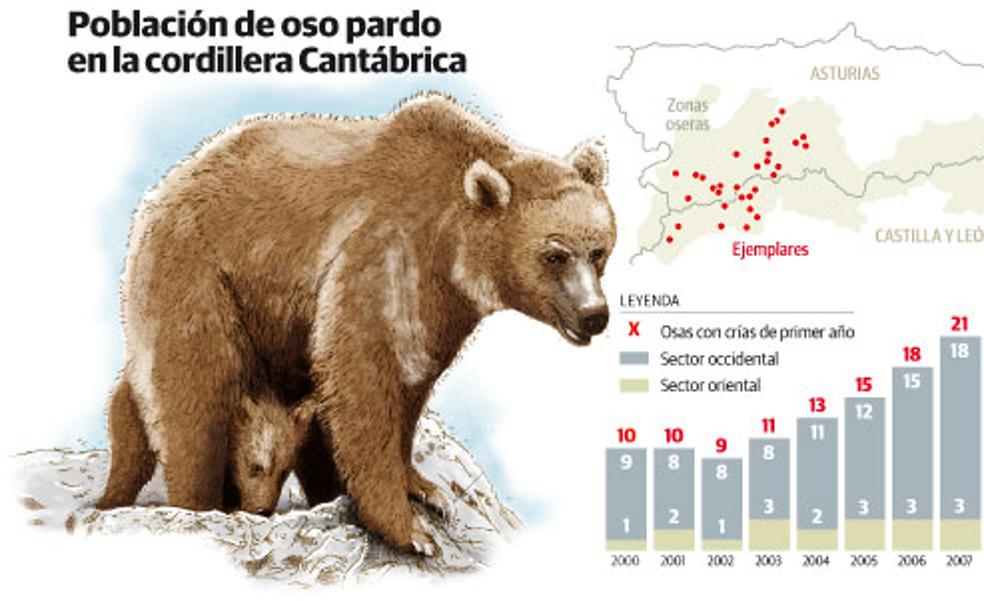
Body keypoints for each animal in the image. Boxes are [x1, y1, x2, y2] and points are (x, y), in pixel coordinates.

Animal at [97, 92, 616, 555]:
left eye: (599, 250)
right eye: (554, 255)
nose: (595, 315)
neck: (454, 245)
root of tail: (165, 187)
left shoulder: (441, 305)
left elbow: (409, 380)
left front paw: (424, 487)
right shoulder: (387, 251)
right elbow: (365, 375)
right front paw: (411, 532)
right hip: (198, 272)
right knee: (194, 395)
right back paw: (200, 505)